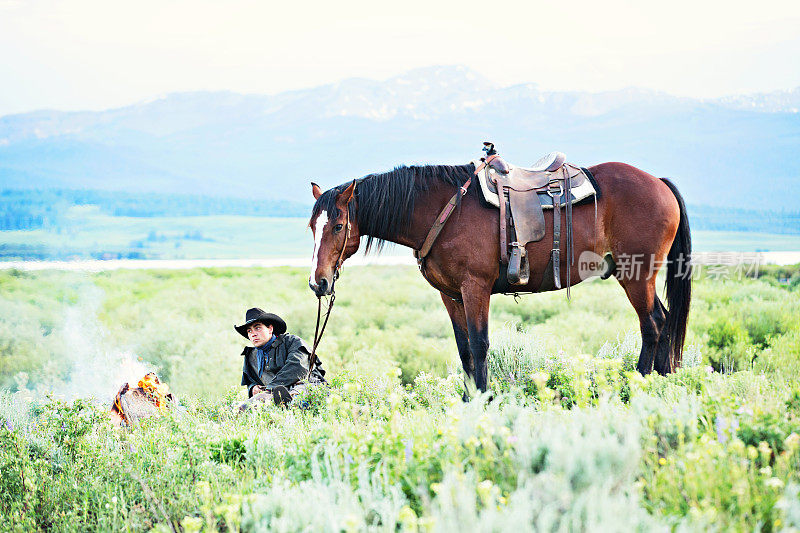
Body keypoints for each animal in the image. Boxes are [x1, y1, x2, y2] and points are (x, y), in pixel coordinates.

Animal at [310, 160, 692, 392]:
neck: (444, 211)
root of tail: (659, 183)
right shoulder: (450, 295)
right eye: (312, 226)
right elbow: (464, 349)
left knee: (653, 324)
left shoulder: (475, 288)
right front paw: (468, 400)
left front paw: (484, 398)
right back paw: (664, 382)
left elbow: (480, 345)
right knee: (664, 320)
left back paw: (640, 382)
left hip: (636, 274)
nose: (319, 283)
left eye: (339, 225)